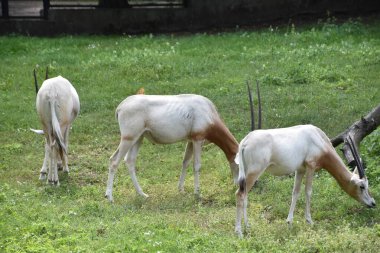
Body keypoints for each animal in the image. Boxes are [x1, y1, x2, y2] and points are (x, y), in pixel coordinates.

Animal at [105, 92, 239, 201]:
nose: (238, 184)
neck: (208, 113)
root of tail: (120, 107)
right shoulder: (197, 139)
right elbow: (196, 165)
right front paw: (197, 193)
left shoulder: (190, 141)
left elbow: (185, 162)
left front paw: (181, 189)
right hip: (129, 138)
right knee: (114, 161)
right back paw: (109, 197)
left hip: (138, 138)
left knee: (129, 160)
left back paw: (142, 194)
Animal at [233, 82, 376, 236]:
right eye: (362, 186)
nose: (373, 203)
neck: (318, 139)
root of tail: (245, 141)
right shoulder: (311, 166)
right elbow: (308, 191)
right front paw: (309, 221)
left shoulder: (300, 169)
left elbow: (295, 192)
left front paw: (289, 222)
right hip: (255, 171)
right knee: (240, 194)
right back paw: (239, 232)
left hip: (247, 172)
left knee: (245, 193)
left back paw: (247, 226)